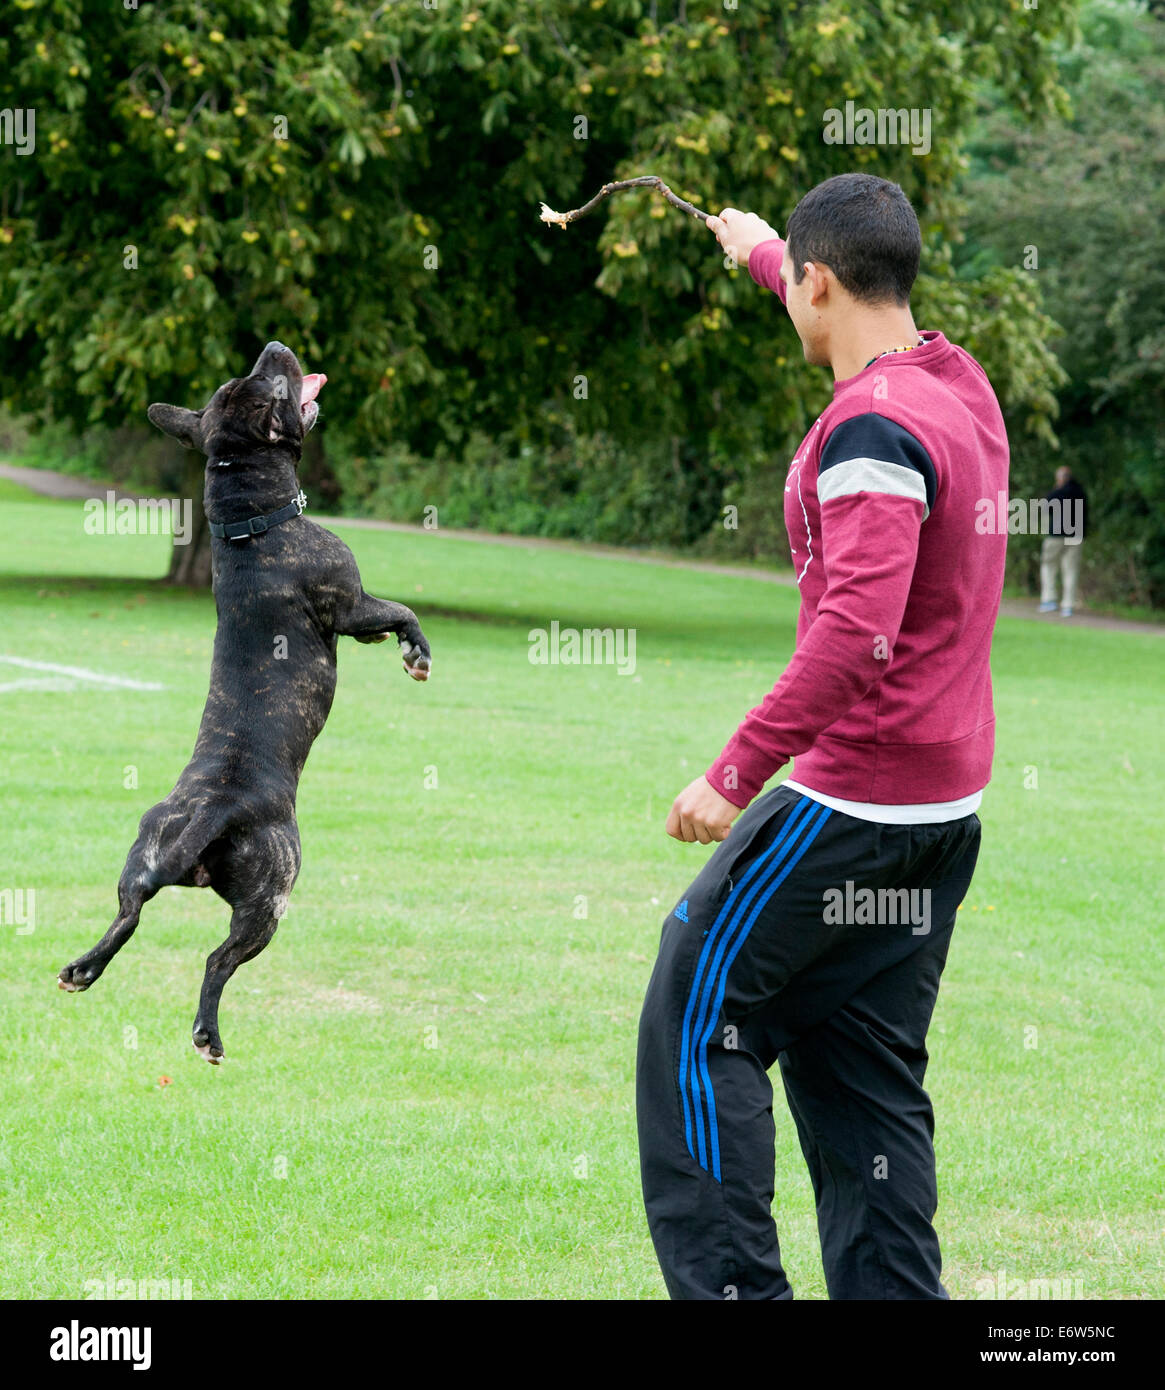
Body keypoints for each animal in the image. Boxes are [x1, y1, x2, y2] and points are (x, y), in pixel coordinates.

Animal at [59, 341, 433, 1056]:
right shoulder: (351, 602)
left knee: (127, 918)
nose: (273, 347)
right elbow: (400, 610)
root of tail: (213, 813)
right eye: (273, 385)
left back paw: (83, 969)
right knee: (217, 960)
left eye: (247, 377)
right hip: (272, 897)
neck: (248, 522)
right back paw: (207, 1033)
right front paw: (415, 652)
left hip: (144, 852)